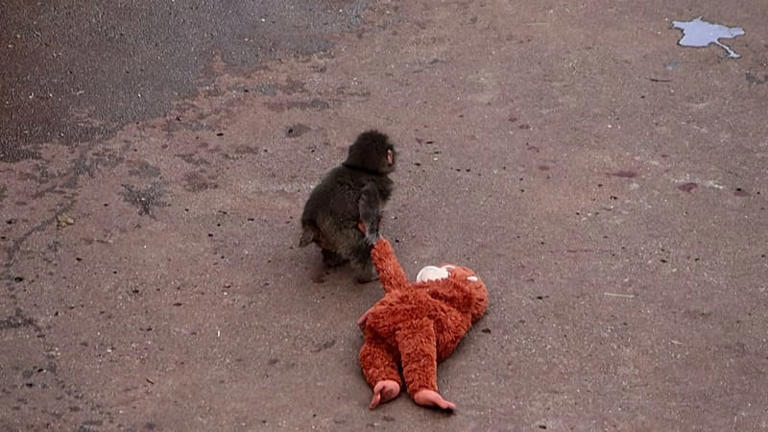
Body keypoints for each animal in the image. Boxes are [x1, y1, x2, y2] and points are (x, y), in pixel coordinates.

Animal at [299, 130, 396, 283]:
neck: (362, 170)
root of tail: (311, 223)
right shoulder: (374, 186)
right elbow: (368, 208)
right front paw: (372, 234)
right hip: (341, 231)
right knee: (360, 245)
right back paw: (367, 276)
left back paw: (332, 260)